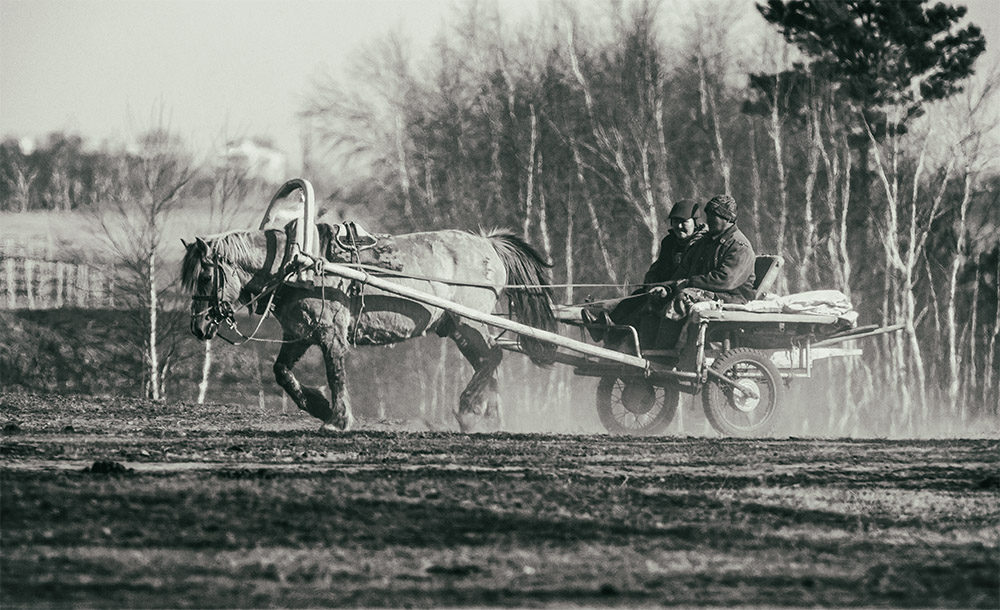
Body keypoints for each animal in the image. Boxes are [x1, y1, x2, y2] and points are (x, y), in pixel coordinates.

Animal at [180, 221, 556, 430]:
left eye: (206, 276)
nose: (198, 326)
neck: (298, 264)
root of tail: (487, 243)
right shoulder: (299, 334)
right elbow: (282, 373)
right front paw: (319, 406)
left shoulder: (331, 334)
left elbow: (336, 374)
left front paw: (337, 420)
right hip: (461, 327)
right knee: (487, 364)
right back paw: (485, 417)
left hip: (469, 322)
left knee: (492, 358)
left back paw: (468, 409)